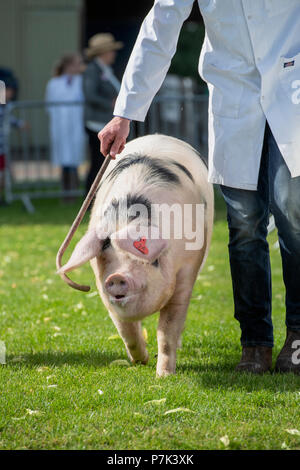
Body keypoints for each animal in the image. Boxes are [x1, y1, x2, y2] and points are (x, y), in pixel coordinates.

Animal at [58, 134, 213, 376]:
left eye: (153, 260)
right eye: (105, 252)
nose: (117, 277)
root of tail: (159, 135)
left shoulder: (187, 272)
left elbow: (167, 328)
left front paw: (164, 376)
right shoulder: (102, 286)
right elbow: (125, 329)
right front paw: (141, 361)